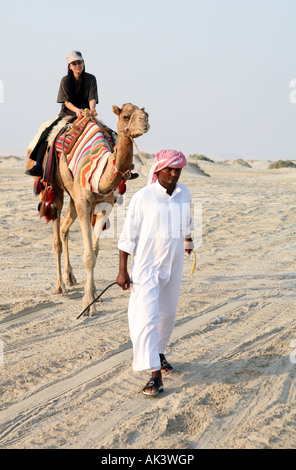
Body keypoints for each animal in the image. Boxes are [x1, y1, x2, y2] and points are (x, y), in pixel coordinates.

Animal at [26, 103, 149, 316]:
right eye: (126, 116)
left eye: (143, 111)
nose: (145, 119)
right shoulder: (84, 203)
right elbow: (88, 255)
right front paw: (88, 304)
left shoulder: (104, 205)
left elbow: (95, 250)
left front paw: (94, 294)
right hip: (55, 187)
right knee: (57, 237)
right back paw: (60, 286)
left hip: (73, 198)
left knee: (64, 227)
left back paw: (70, 277)